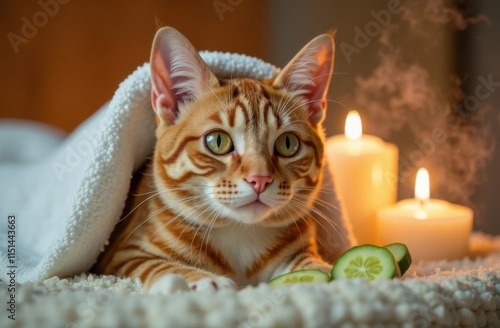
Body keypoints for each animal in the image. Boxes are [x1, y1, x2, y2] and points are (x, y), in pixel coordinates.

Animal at [94, 25, 336, 292]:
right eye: (218, 141)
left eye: (288, 143)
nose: (259, 179)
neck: (239, 233)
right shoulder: (121, 256)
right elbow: (158, 265)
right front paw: (203, 279)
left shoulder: (299, 247)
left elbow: (307, 262)